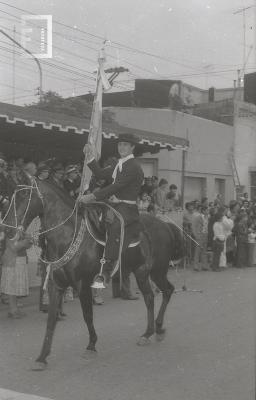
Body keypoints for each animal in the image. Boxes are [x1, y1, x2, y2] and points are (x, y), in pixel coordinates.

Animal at [4, 180, 184, 370]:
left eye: (24, 196)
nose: (6, 229)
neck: (67, 235)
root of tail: (165, 225)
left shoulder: (82, 284)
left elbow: (87, 315)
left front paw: (91, 345)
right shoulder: (57, 285)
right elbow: (51, 319)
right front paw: (42, 357)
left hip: (156, 271)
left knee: (165, 291)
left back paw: (156, 329)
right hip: (143, 272)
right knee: (151, 297)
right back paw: (151, 332)